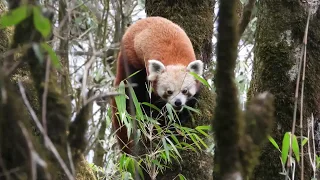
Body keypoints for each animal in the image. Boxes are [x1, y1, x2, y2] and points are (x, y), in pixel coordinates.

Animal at [111, 16, 204, 154]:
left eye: (185, 91)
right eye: (169, 92)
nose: (177, 102)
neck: (174, 60)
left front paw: (180, 117)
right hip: (132, 58)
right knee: (136, 89)